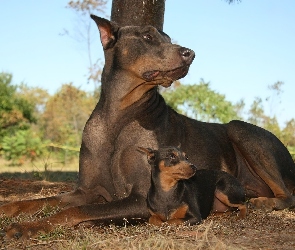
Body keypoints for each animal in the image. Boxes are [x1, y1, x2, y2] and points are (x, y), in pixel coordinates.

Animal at [0, 14, 295, 240]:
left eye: (169, 39)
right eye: (147, 37)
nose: (190, 53)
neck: (118, 114)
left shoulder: (141, 197)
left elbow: (74, 211)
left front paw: (27, 227)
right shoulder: (85, 191)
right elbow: (42, 201)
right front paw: (9, 209)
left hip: (239, 129)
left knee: (288, 195)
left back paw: (265, 203)